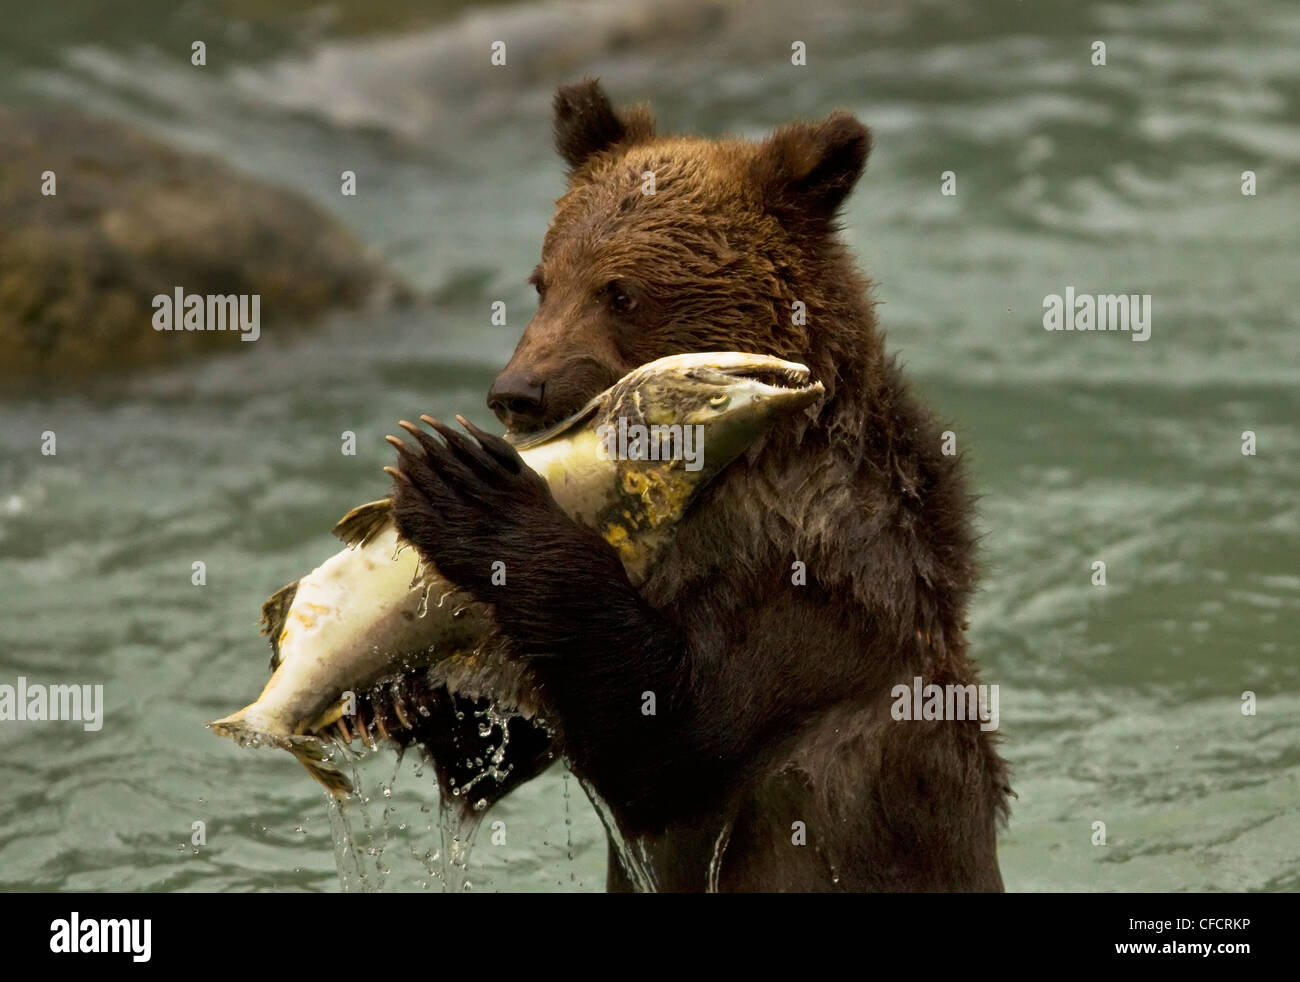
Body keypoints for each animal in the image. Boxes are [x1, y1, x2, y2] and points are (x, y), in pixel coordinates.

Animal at [385, 79, 1011, 892]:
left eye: (620, 293)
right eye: (543, 282)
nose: (517, 391)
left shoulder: (810, 588)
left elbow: (672, 735)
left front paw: (460, 481)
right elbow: (507, 741)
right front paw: (407, 694)